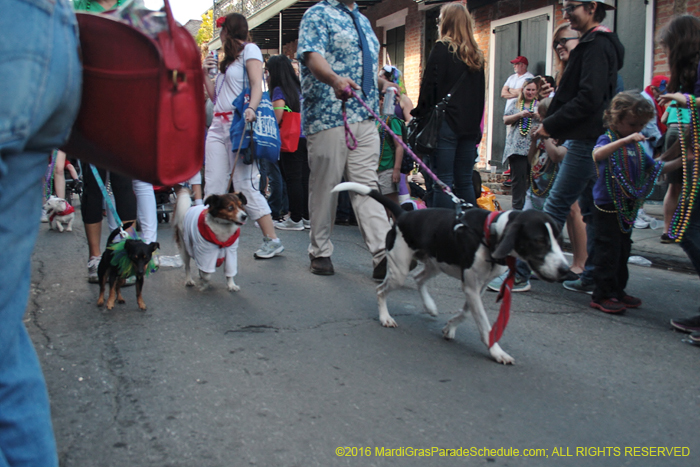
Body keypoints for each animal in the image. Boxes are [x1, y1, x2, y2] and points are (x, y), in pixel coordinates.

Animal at [330, 183, 572, 366]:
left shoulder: (476, 288)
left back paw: (429, 306)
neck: (490, 233)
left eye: (559, 240)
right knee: (382, 290)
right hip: (399, 270)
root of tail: (404, 214)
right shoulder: (472, 287)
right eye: (539, 240)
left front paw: (450, 327)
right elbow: (484, 323)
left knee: (419, 279)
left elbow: (465, 313)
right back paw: (385, 317)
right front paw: (496, 351)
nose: (565, 270)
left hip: (435, 263)